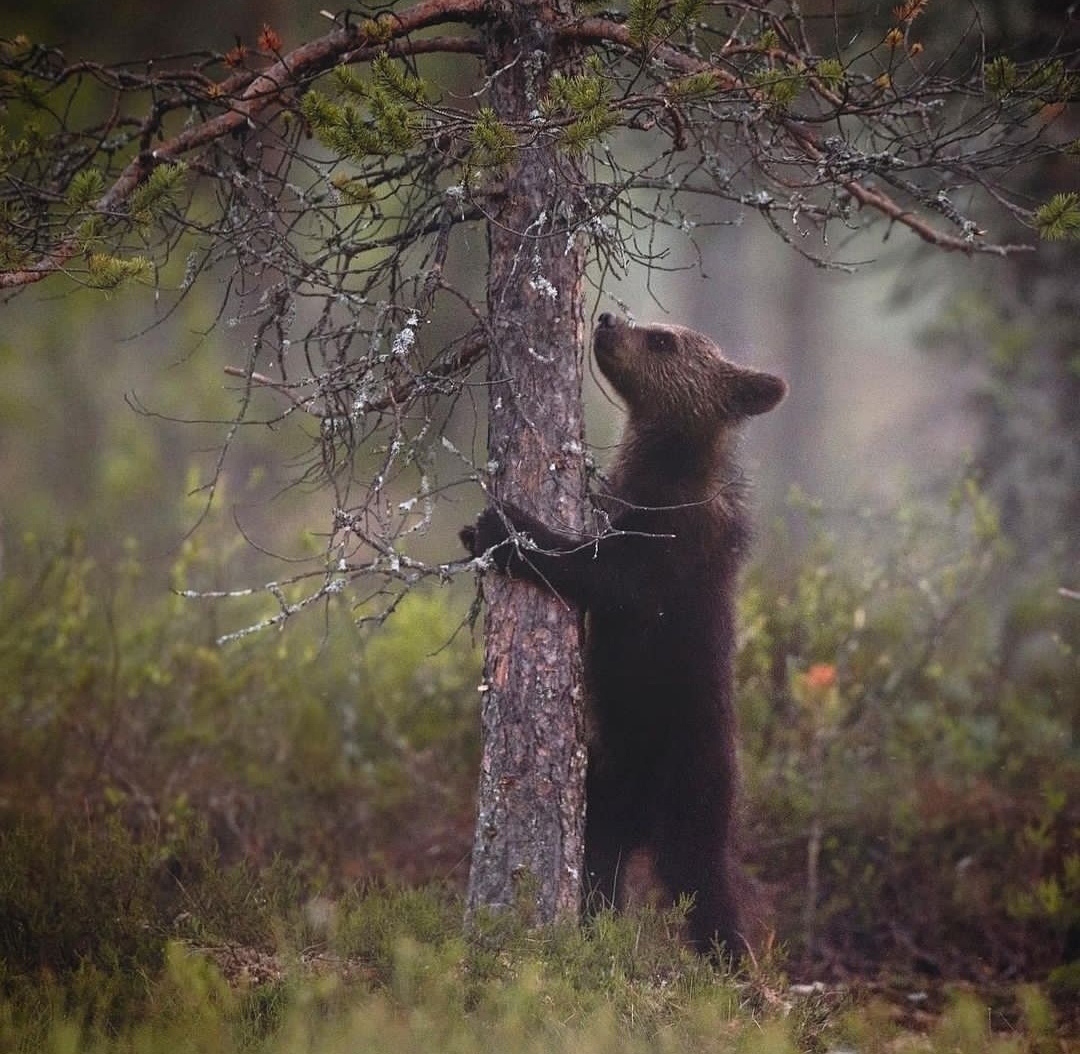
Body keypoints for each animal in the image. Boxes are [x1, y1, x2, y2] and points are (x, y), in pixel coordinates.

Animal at [460, 313, 790, 954]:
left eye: (664, 339)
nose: (610, 318)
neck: (661, 470)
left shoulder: (667, 552)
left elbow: (600, 573)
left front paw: (503, 527)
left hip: (686, 778)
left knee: (702, 884)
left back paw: (730, 960)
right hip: (614, 785)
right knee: (600, 852)